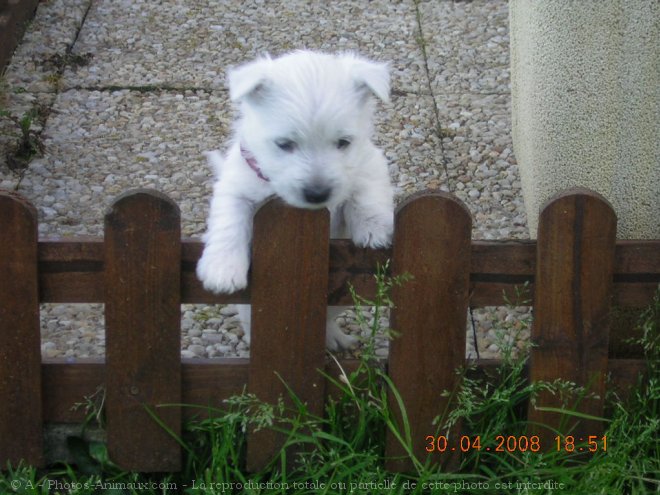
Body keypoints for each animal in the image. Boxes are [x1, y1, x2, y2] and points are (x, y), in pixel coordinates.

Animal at [195, 50, 392, 350]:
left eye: (343, 142)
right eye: (284, 144)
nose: (317, 194)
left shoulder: (369, 161)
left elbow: (364, 191)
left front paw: (374, 231)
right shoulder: (236, 187)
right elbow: (229, 222)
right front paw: (223, 269)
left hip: (343, 294)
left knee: (326, 319)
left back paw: (335, 338)